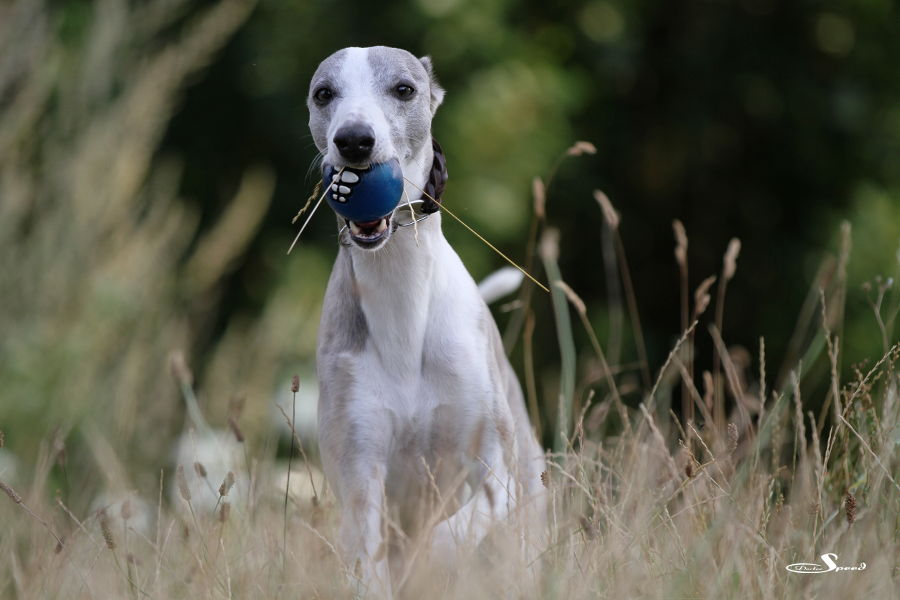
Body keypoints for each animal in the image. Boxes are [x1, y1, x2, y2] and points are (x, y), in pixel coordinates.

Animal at [310, 47, 548, 596]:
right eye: (323, 94)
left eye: (404, 89)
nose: (354, 140)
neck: (403, 307)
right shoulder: (360, 470)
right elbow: (370, 552)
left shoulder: (493, 464)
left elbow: (451, 531)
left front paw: (429, 563)